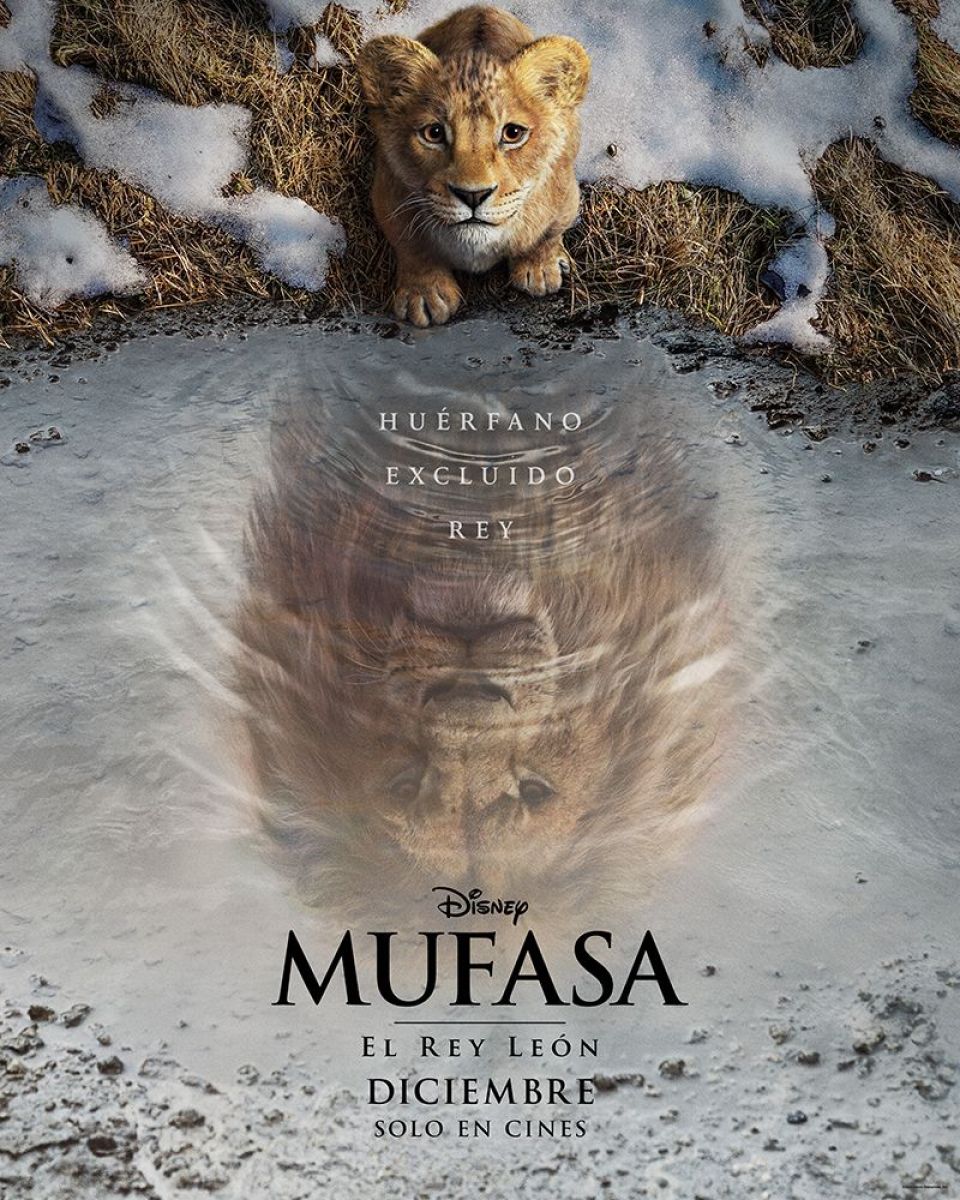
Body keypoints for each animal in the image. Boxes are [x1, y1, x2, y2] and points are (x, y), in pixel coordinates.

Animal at [356, 6, 590, 327]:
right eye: (434, 133)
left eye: (513, 133)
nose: (473, 195)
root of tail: (481, 8)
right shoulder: (388, 195)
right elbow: (412, 246)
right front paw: (424, 295)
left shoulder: (565, 195)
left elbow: (546, 234)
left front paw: (540, 269)